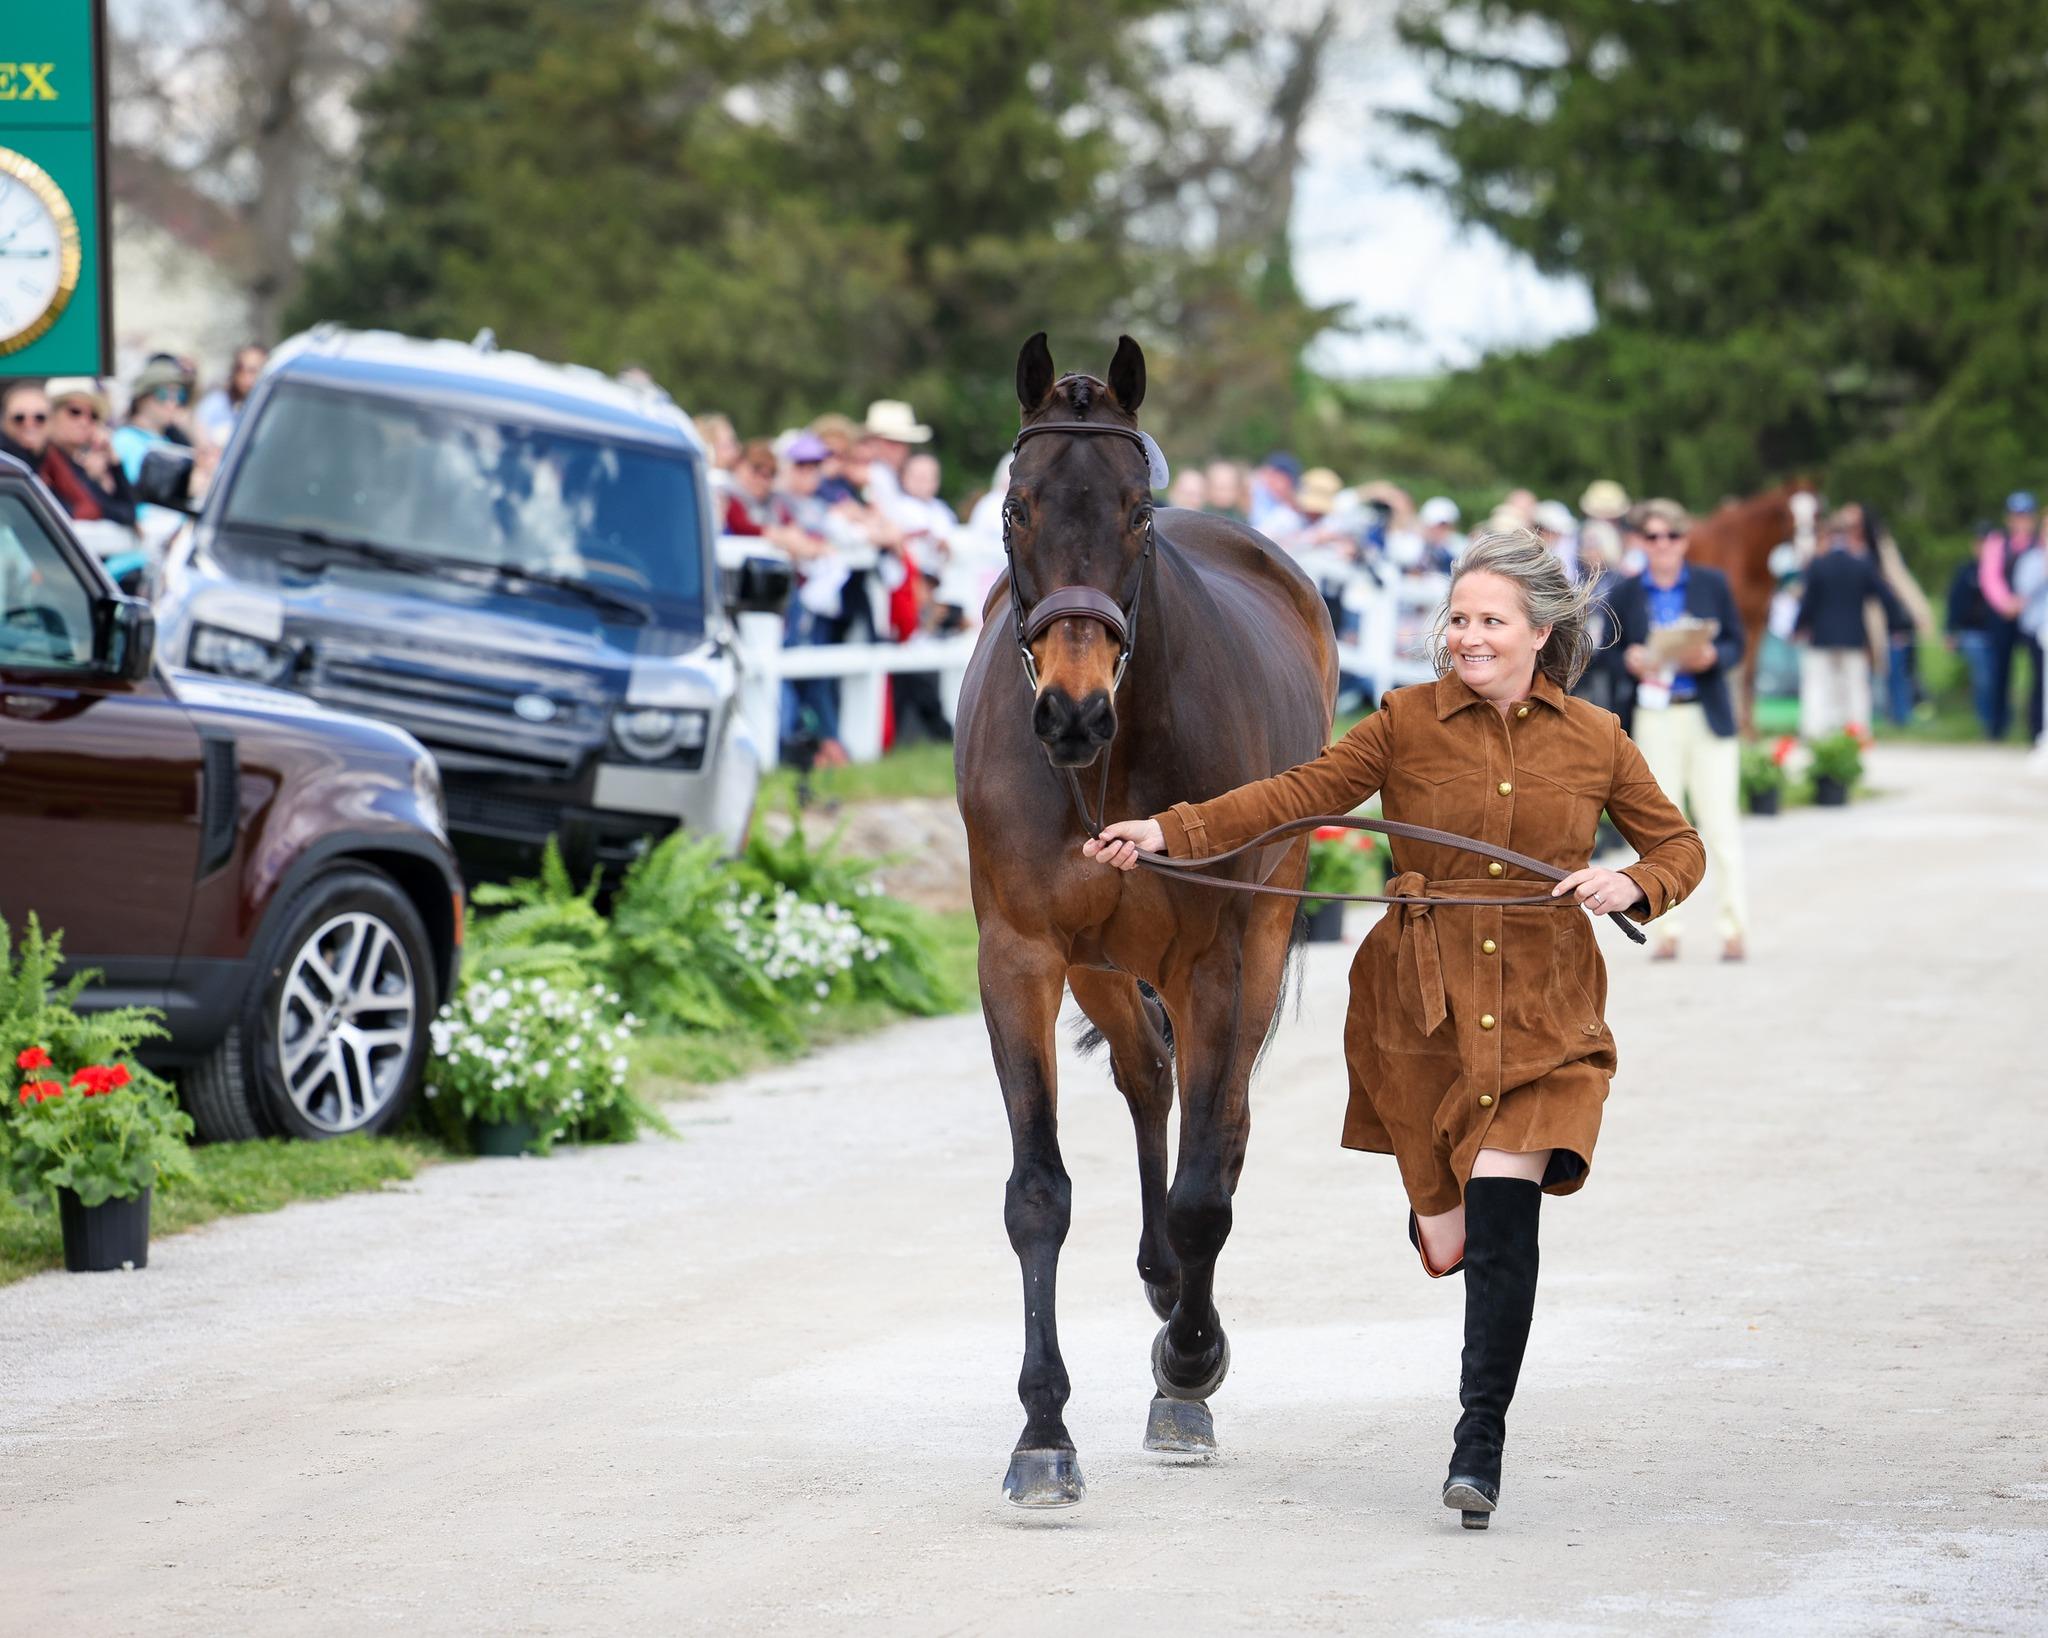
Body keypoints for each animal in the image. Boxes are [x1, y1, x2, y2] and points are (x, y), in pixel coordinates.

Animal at [954, 331, 1335, 1506]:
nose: (1071, 710)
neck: (1107, 765)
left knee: (1224, 1119)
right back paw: (1163, 1282)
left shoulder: (1214, 953)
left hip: (1259, 928)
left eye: (1134, 512)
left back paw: (1184, 1338)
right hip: (1105, 964)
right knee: (1147, 1078)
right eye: (1015, 507)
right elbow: (1037, 1194)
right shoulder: (1022, 956)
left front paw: (1190, 1364)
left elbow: (1207, 1183)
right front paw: (1042, 1433)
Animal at [1679, 479, 1826, 737]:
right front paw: (1739, 726)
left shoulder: (1756, 623)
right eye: (1785, 513)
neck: (1745, 554)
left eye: (1817, 511)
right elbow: (1731, 673)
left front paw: (1750, 730)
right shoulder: (1733, 624)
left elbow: (1749, 674)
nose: (1806, 548)